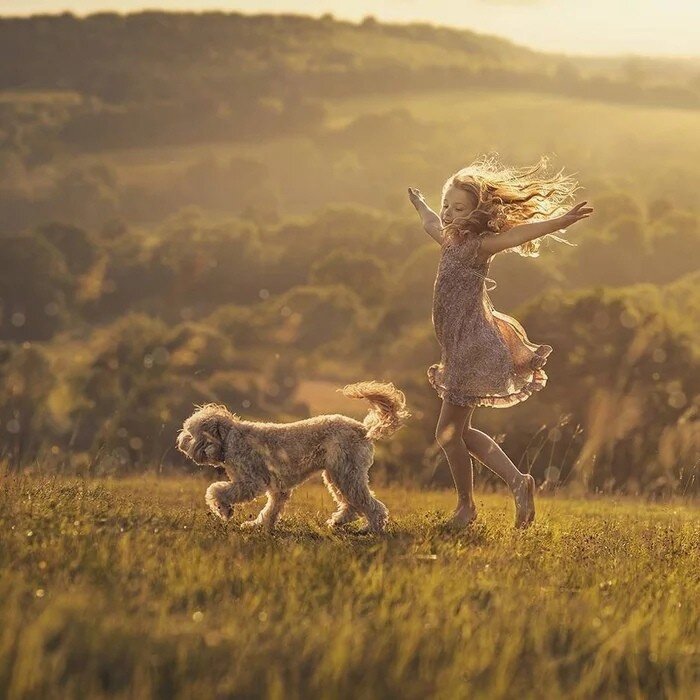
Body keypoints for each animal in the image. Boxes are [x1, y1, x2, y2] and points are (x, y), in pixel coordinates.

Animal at [174, 380, 410, 532]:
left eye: (190, 433)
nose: (180, 441)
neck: (230, 437)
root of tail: (363, 429)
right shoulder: (278, 489)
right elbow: (270, 510)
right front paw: (259, 526)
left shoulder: (251, 482)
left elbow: (215, 490)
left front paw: (223, 510)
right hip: (337, 475)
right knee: (351, 506)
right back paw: (338, 523)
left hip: (347, 475)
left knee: (372, 506)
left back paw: (370, 529)